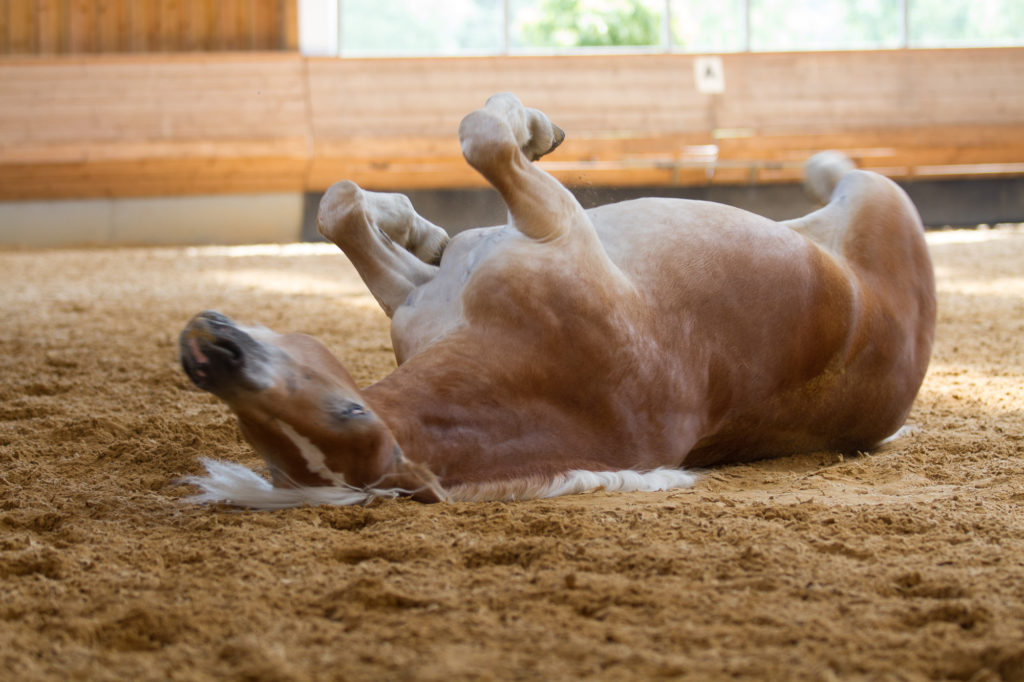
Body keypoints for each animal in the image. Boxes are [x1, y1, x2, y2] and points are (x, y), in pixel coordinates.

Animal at [178, 91, 937, 503]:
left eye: (345, 410)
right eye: (252, 430)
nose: (212, 351)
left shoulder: (540, 226)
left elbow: (478, 143)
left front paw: (518, 140)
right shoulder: (423, 296)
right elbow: (347, 209)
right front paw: (419, 222)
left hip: (875, 197)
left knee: (845, 173)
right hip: (874, 198)